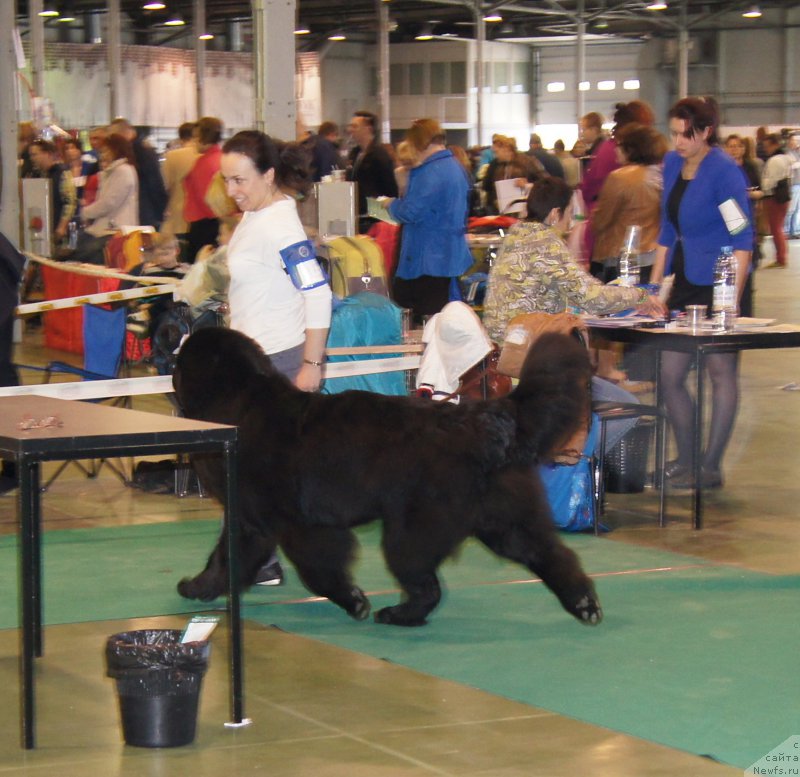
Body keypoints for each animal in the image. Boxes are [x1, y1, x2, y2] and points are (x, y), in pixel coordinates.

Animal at [173, 324, 600, 628]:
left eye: (180, 363)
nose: (171, 368)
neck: (240, 401)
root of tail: (481, 417)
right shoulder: (255, 520)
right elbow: (225, 557)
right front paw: (200, 586)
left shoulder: (293, 523)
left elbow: (315, 569)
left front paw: (354, 600)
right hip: (503, 518)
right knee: (548, 553)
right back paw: (583, 603)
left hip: (412, 528)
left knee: (425, 583)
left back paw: (399, 615)